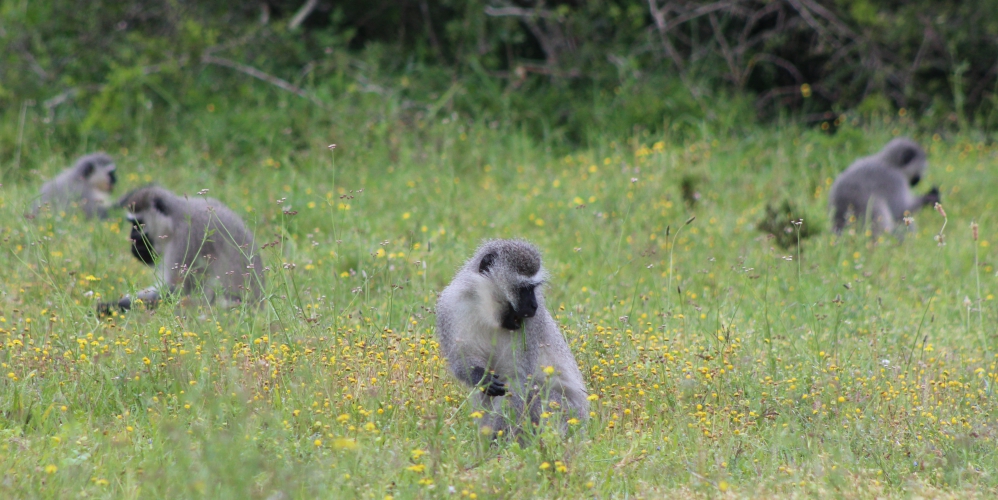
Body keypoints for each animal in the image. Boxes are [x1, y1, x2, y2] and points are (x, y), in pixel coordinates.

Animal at [97, 186, 266, 314]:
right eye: (133, 224)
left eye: (138, 224)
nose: (133, 239)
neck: (174, 219)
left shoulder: (187, 237)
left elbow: (178, 290)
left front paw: (110, 307)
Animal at [436, 238, 588, 438]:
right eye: (524, 288)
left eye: (534, 288)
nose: (534, 306)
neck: (489, 312)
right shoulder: (451, 305)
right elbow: (460, 358)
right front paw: (482, 377)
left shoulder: (531, 324)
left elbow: (519, 378)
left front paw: (498, 438)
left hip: (567, 415)